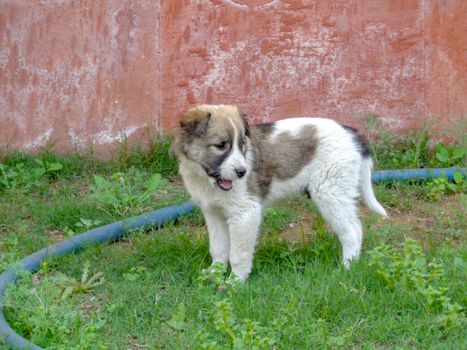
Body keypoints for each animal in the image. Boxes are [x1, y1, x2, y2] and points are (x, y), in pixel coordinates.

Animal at [174, 105, 390, 284]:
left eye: (242, 144)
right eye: (220, 145)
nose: (242, 172)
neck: (205, 179)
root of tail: (352, 133)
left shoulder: (245, 214)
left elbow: (239, 253)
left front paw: (235, 282)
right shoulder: (214, 213)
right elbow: (218, 248)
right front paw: (214, 273)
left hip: (331, 192)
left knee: (353, 231)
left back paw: (346, 268)